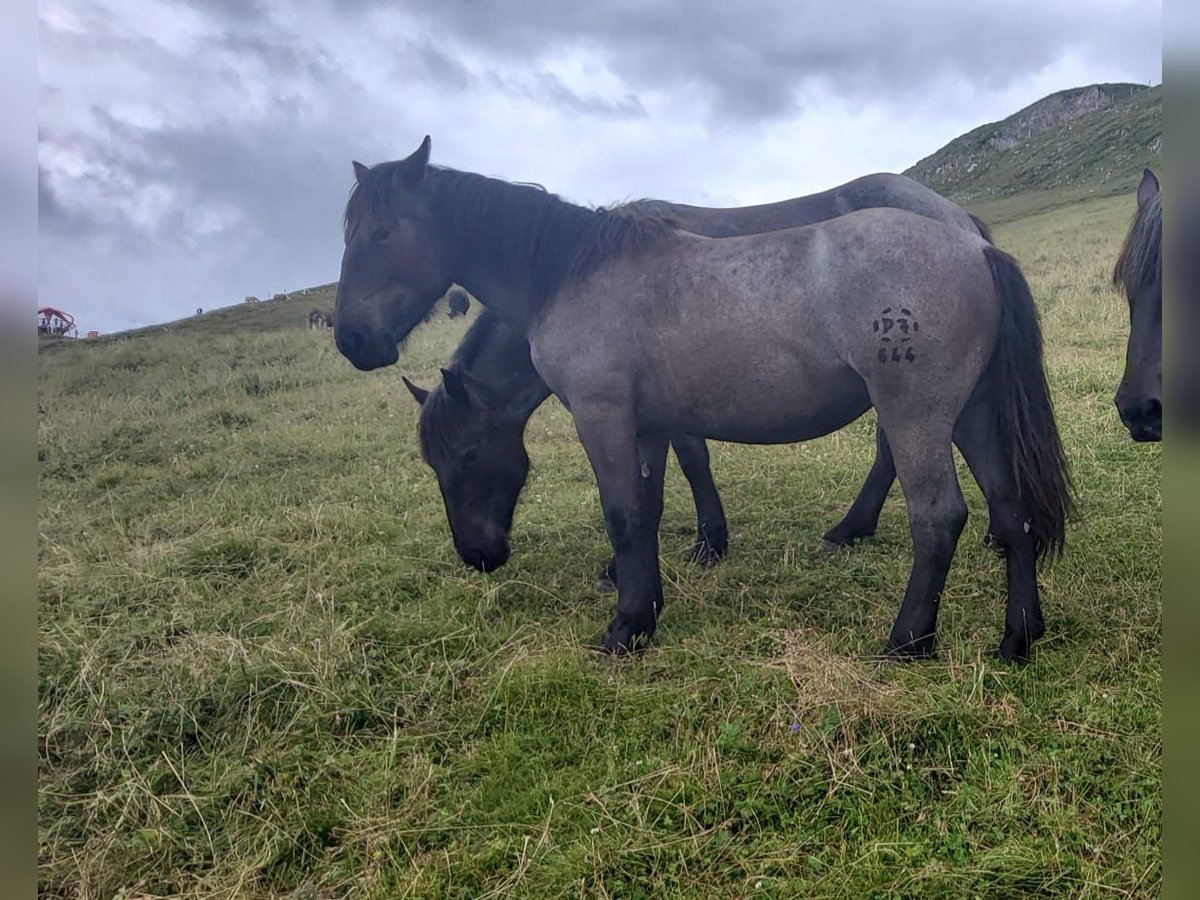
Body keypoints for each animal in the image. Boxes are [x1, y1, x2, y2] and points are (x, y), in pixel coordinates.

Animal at [398, 174, 998, 588]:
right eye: (434, 464)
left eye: (469, 455)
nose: (476, 556)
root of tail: (961, 221)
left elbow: (685, 464)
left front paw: (698, 547)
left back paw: (852, 528)